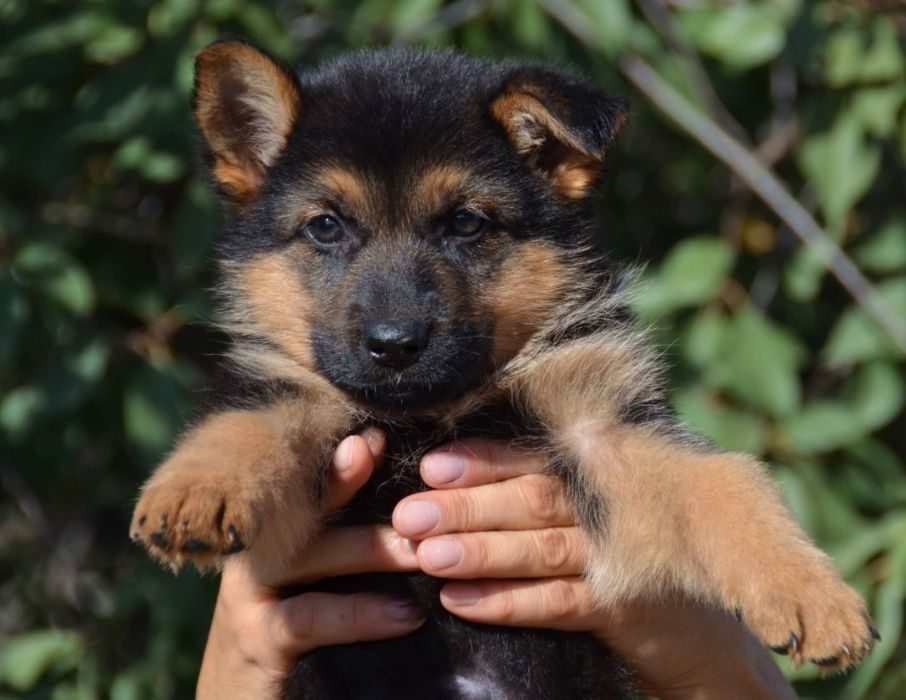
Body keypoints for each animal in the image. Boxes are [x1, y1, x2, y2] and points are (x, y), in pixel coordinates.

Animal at [131, 41, 872, 696]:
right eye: (325, 227)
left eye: (466, 223)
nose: (394, 345)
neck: (426, 414)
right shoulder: (293, 409)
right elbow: (241, 430)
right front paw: (192, 494)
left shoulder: (603, 426)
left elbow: (724, 481)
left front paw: (813, 595)